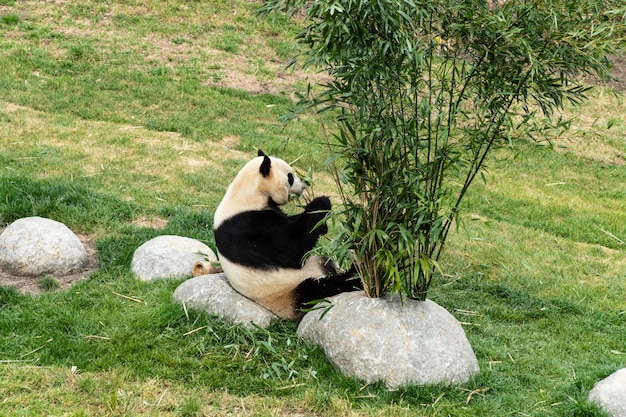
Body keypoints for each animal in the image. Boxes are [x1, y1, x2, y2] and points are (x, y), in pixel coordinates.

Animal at [213, 150, 360, 322]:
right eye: (290, 177)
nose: (303, 186)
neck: (248, 192)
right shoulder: (250, 225)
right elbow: (293, 249)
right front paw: (321, 201)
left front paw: (323, 226)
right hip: (286, 291)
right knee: (316, 290)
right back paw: (354, 277)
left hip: (315, 263)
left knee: (326, 262)